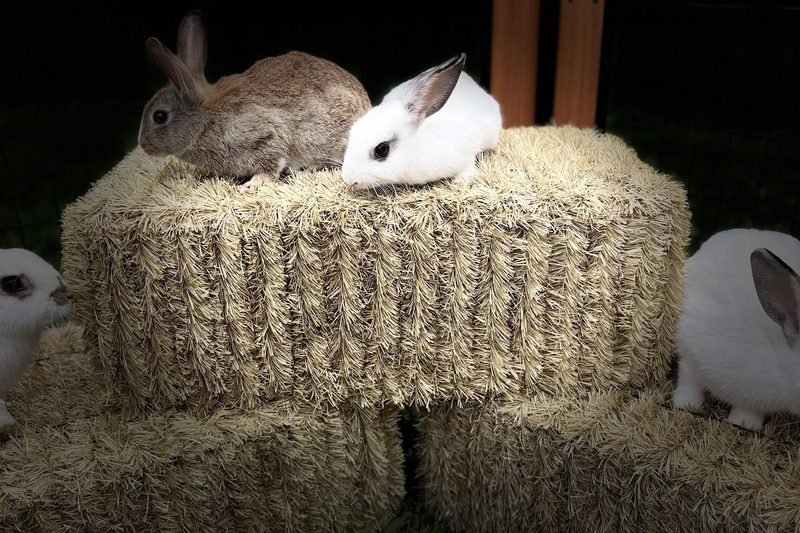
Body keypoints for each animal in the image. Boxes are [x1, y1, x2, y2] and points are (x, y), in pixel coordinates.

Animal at [138, 11, 371, 191]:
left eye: (160, 116)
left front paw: (251, 185)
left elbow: (270, 163)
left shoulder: (262, 134)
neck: (205, 120)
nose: (143, 145)